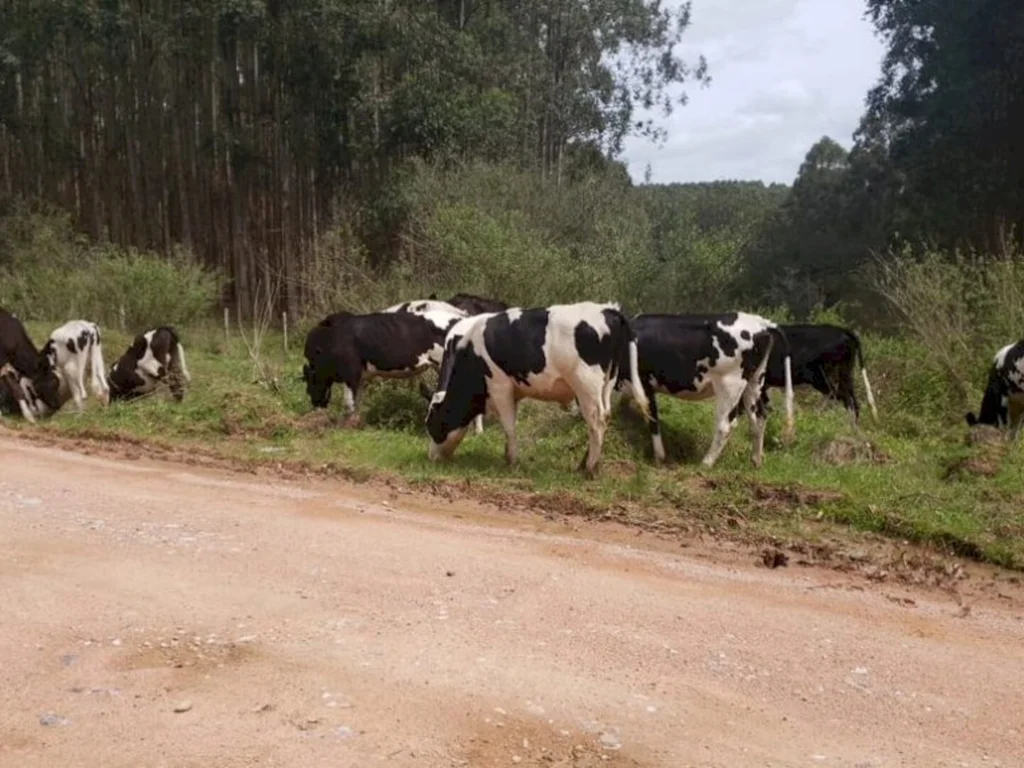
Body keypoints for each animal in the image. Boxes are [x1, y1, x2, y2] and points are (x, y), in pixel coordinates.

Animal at [302, 310, 464, 420]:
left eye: (309, 388)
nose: (315, 406)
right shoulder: (361, 377)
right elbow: (357, 401)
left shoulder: (351, 374)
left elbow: (349, 403)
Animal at [424, 302, 651, 477]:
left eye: (432, 424)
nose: (431, 458)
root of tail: (608, 310)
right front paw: (508, 455)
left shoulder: (500, 387)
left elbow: (509, 425)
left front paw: (511, 460)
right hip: (606, 385)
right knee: (604, 418)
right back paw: (586, 464)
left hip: (587, 386)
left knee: (596, 422)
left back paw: (589, 468)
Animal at [616, 312, 792, 468]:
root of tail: (761, 324)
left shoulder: (643, 382)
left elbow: (651, 417)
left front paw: (659, 456)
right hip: (755, 382)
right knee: (759, 418)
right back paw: (756, 460)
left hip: (730, 385)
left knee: (726, 425)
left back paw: (706, 463)